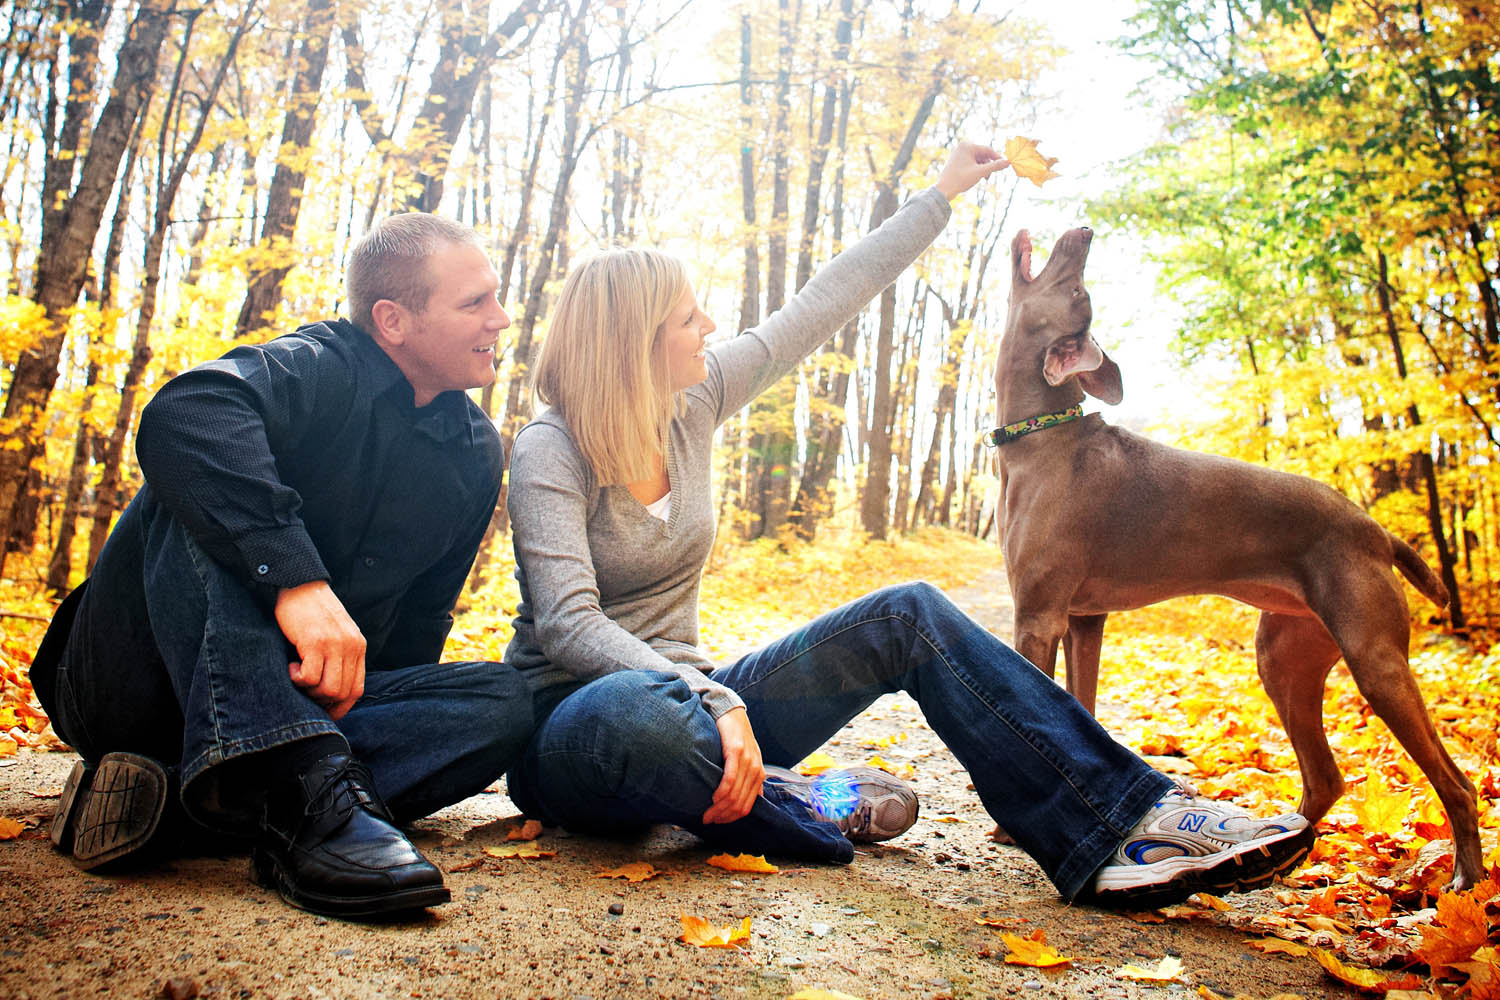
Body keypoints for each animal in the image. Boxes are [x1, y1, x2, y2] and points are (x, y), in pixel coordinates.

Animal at [990, 226, 1482, 893]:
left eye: (1077, 290)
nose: (1085, 232)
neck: (1042, 435)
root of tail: (1374, 529)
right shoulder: (1085, 620)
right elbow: (1079, 711)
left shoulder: (1039, 617)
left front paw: (1009, 828)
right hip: (1284, 658)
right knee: (1325, 778)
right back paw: (1271, 852)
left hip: (1376, 662)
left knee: (1456, 783)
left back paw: (1466, 880)